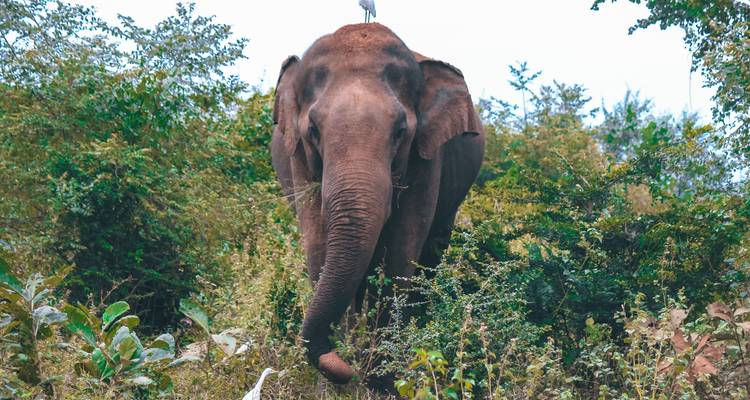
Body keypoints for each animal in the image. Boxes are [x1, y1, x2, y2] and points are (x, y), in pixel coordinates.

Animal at [271, 23, 485, 386]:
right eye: (313, 129)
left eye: (400, 131)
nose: (344, 368)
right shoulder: (297, 154)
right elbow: (317, 247)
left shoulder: (428, 155)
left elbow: (400, 252)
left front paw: (382, 380)